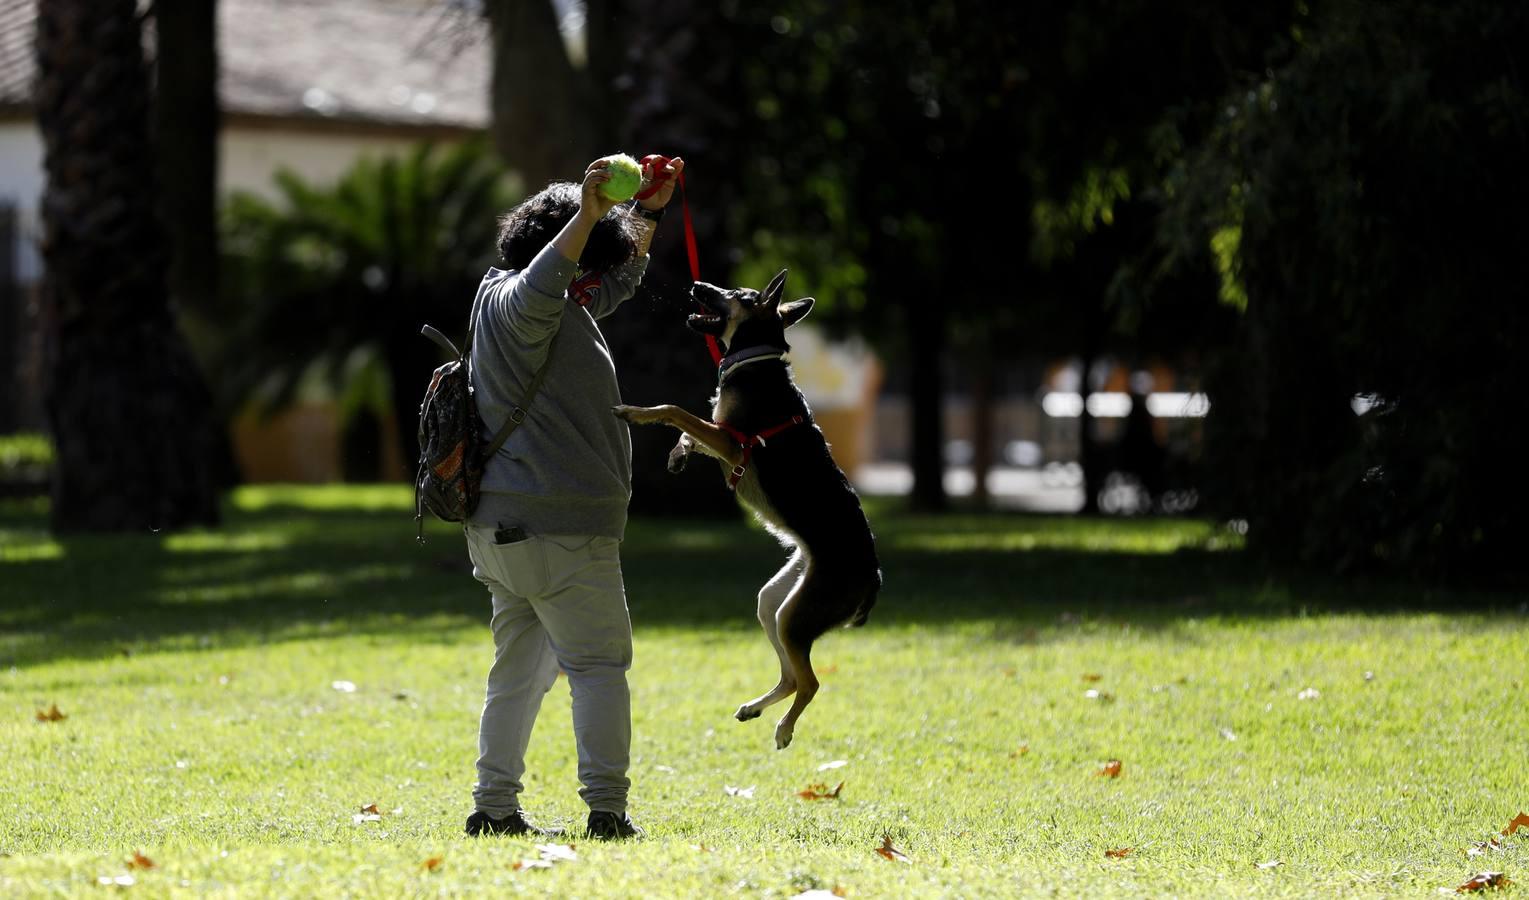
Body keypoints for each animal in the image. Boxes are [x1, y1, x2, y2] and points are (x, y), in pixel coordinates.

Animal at [611, 270, 880, 748]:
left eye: (736, 294)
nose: (698, 284)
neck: (755, 361)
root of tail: (873, 578)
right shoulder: (721, 438)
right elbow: (690, 429)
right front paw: (678, 454)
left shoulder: (732, 443)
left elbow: (675, 410)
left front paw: (637, 413)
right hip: (777, 600)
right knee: (791, 676)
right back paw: (755, 708)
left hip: (797, 613)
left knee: (811, 682)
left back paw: (785, 728)